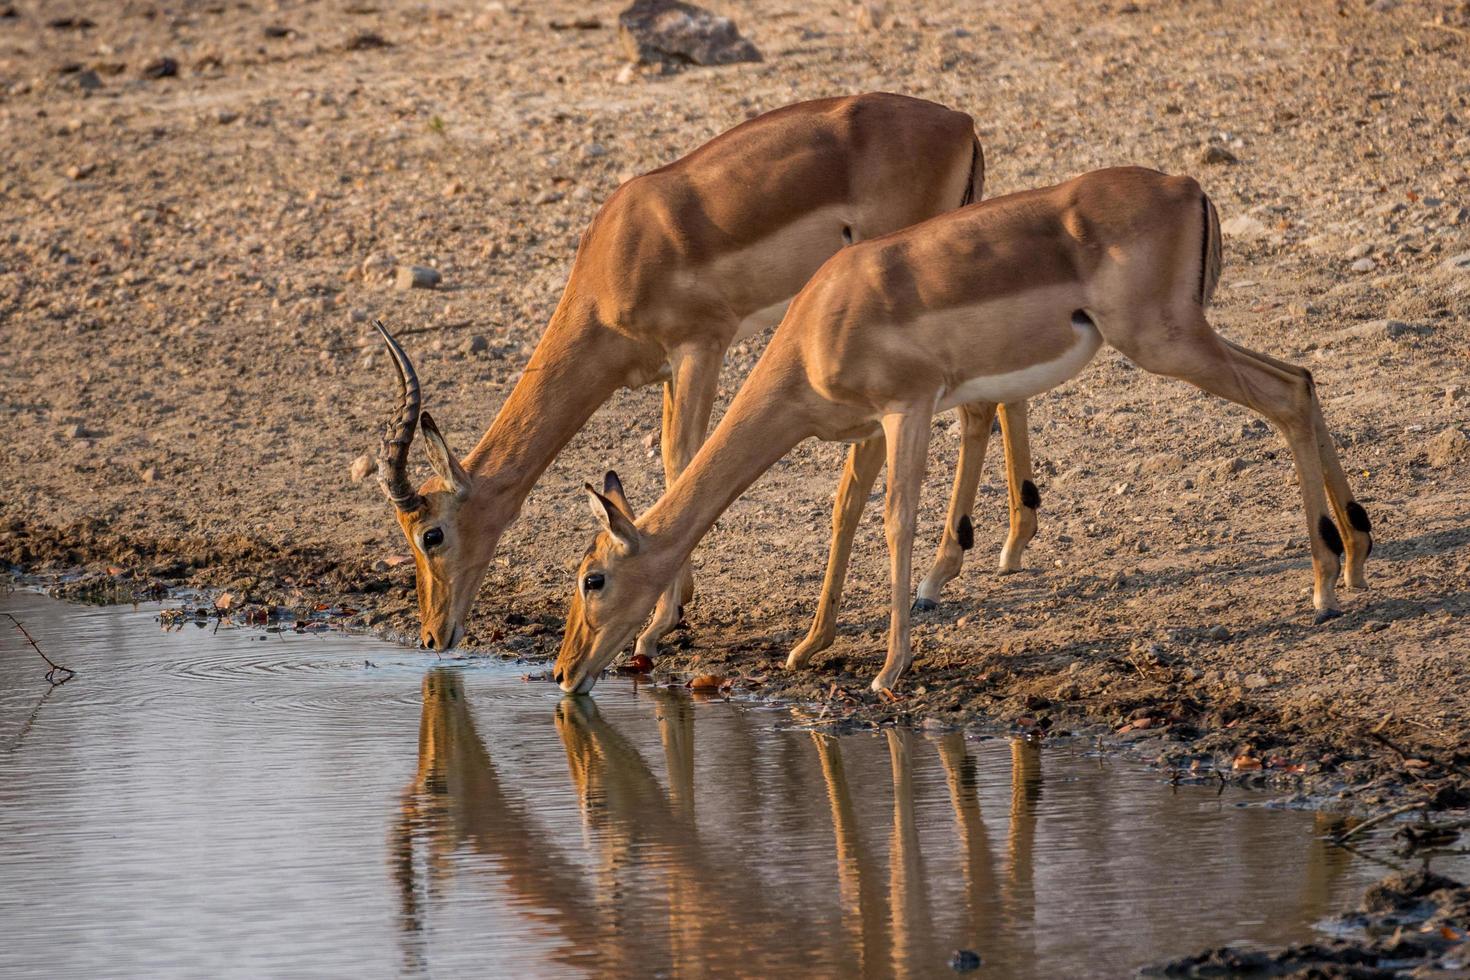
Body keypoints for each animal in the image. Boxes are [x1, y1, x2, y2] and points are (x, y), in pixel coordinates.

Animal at [367, 94, 1040, 658]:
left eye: (431, 535)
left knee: (978, 406)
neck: (617, 257)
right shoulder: (666, 368)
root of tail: (959, 122)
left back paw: (938, 577)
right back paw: (1007, 545)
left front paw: (663, 622)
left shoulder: (701, 347)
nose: (431, 636)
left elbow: (678, 455)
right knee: (999, 393)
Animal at [552, 168, 1375, 693]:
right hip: (1186, 337)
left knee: (1285, 395)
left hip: (1166, 342)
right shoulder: (864, 431)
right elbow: (842, 516)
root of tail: (1187, 188)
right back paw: (1358, 558)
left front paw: (889, 670)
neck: (819, 323)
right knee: (1303, 378)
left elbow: (895, 522)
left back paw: (1324, 589)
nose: (562, 672)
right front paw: (810, 645)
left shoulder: (907, 409)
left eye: (594, 578)